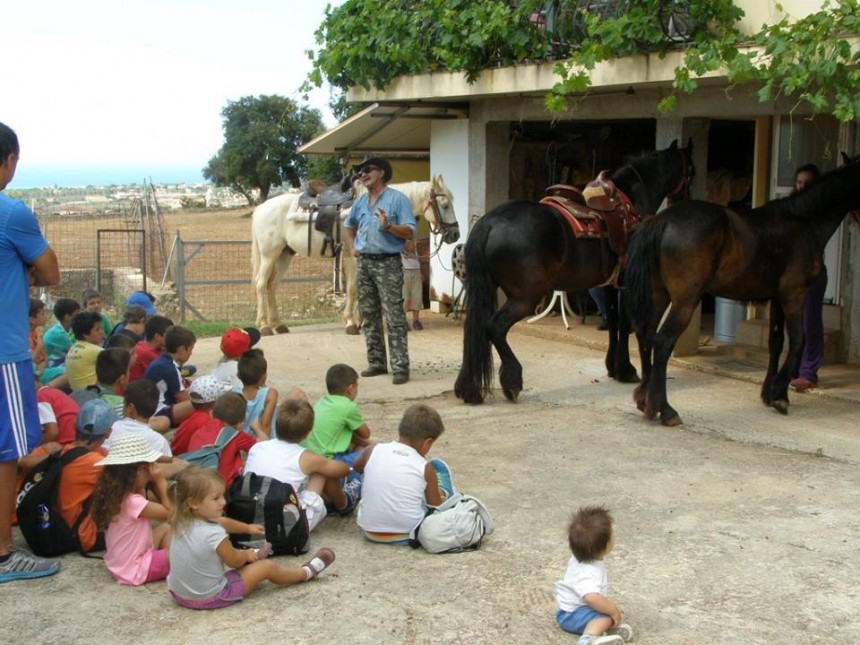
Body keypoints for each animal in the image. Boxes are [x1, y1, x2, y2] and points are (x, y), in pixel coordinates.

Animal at [252, 176, 460, 334]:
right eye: (444, 205)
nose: (455, 234)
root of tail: (260, 208)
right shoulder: (353, 256)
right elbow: (353, 289)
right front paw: (352, 323)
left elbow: (359, 290)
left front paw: (359, 321)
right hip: (270, 254)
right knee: (261, 284)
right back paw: (264, 326)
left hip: (284, 255)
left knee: (272, 285)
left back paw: (278, 324)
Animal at [456, 140, 692, 402]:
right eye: (691, 170)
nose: (686, 199)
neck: (632, 202)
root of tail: (489, 223)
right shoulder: (627, 283)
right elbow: (623, 323)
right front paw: (626, 370)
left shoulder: (609, 284)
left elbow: (612, 322)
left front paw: (614, 367)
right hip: (525, 297)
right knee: (495, 327)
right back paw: (512, 380)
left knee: (476, 327)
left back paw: (469, 389)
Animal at [624, 159, 860, 426]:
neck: (803, 223)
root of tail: (662, 220)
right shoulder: (794, 295)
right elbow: (799, 340)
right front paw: (780, 395)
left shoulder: (777, 298)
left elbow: (776, 342)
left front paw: (769, 393)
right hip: (685, 301)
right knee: (663, 342)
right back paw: (665, 409)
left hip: (659, 295)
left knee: (646, 336)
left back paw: (644, 400)